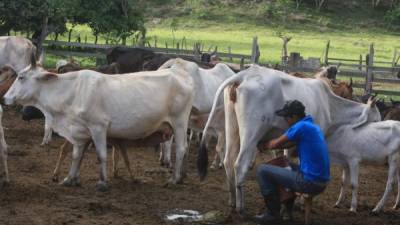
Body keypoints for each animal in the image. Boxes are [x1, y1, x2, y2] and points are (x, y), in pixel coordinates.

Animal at [3, 55, 196, 190]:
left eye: (21, 77)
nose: (5, 98)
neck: (72, 91)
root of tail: (179, 74)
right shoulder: (79, 132)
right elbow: (76, 155)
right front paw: (69, 179)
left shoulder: (98, 128)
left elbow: (101, 155)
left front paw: (102, 182)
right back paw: (181, 177)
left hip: (179, 122)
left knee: (181, 149)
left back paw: (173, 179)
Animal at [200, 64, 382, 213]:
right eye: (377, 118)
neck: (329, 104)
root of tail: (244, 75)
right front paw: (301, 203)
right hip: (251, 133)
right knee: (239, 165)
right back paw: (240, 206)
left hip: (232, 128)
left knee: (228, 161)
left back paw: (232, 201)